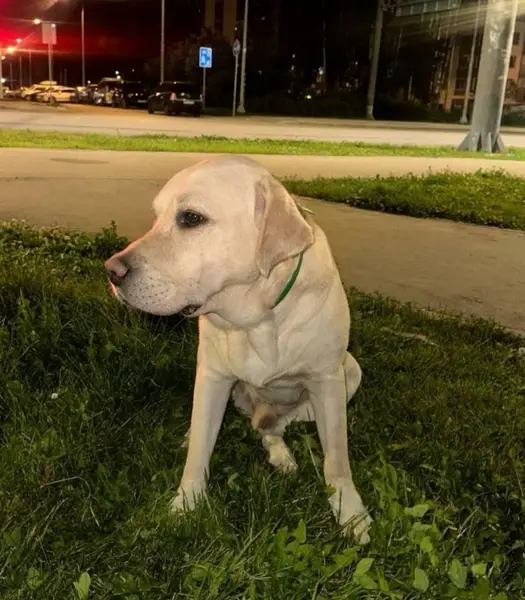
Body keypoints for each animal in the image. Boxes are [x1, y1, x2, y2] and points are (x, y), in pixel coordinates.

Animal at [105, 155, 371, 544]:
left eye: (191, 218)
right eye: (156, 216)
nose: (111, 271)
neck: (258, 317)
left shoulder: (327, 381)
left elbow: (336, 459)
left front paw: (350, 512)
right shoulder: (213, 376)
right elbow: (199, 451)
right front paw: (185, 504)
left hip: (350, 373)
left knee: (272, 426)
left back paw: (281, 454)